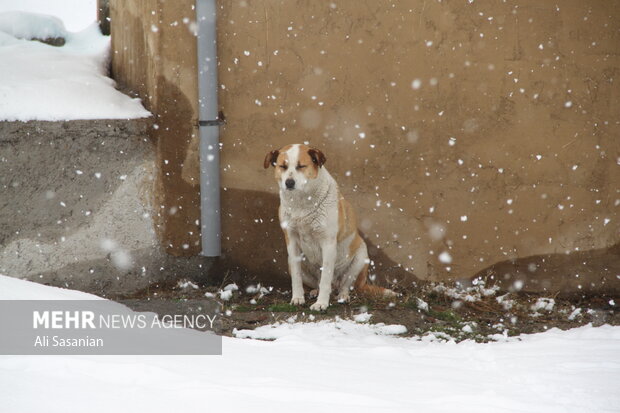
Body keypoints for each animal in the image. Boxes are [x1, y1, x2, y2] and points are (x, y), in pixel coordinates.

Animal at [264, 143, 394, 308]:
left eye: (301, 166)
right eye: (283, 166)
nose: (289, 183)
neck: (302, 203)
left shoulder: (328, 242)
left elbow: (326, 276)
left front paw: (321, 304)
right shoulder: (291, 241)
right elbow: (296, 276)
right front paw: (298, 298)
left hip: (361, 256)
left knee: (344, 285)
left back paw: (342, 296)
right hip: (292, 263)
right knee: (318, 283)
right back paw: (314, 292)